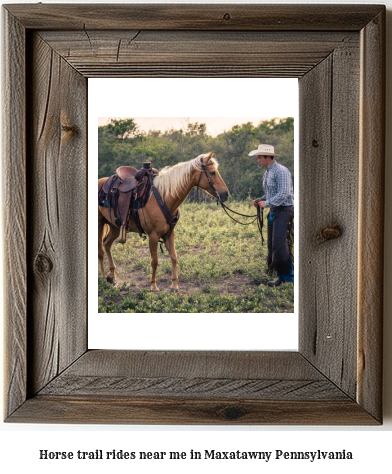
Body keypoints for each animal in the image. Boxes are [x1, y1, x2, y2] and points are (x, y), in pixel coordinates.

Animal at [97, 154, 230, 290]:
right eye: (212, 172)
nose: (226, 194)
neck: (163, 197)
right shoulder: (153, 235)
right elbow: (154, 261)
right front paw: (153, 286)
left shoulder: (169, 234)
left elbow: (174, 257)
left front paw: (174, 285)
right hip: (100, 223)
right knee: (100, 251)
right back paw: (102, 277)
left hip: (115, 226)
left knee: (106, 244)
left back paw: (111, 277)